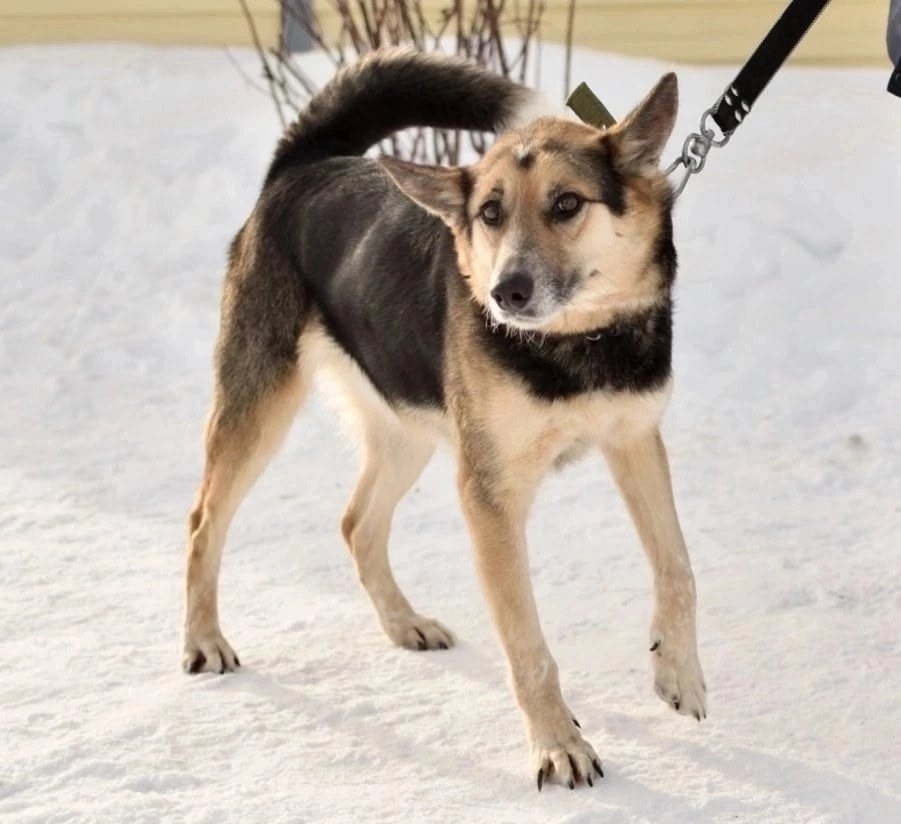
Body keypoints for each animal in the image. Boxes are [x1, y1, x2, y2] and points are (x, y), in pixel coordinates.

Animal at [182, 48, 706, 790]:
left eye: (566, 204)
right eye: (489, 213)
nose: (506, 291)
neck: (574, 344)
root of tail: (307, 163)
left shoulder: (634, 440)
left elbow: (677, 566)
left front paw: (678, 674)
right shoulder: (489, 496)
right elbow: (529, 648)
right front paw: (558, 745)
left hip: (407, 428)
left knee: (356, 522)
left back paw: (404, 624)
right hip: (261, 407)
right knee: (204, 522)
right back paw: (203, 641)